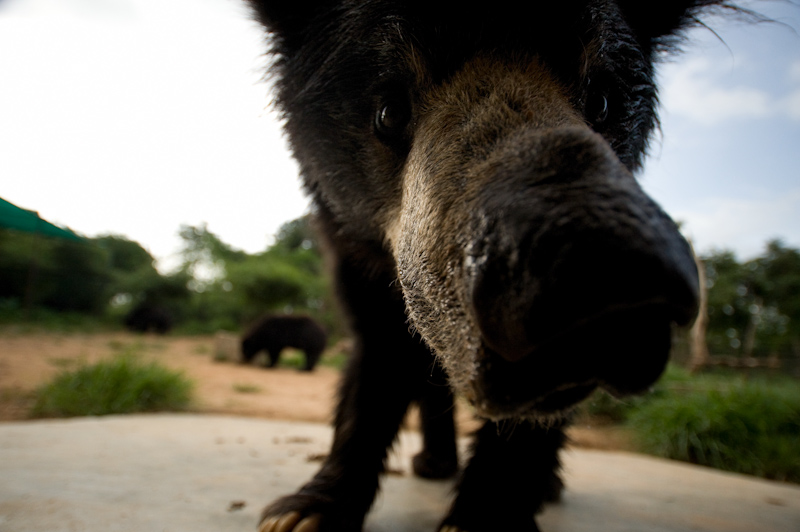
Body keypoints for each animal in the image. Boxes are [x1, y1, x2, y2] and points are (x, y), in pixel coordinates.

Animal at [244, 1, 756, 532]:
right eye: (389, 111)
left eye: (602, 101)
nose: (600, 273)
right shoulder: (357, 260)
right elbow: (377, 363)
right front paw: (302, 513)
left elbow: (529, 419)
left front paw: (486, 514)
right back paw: (433, 463)